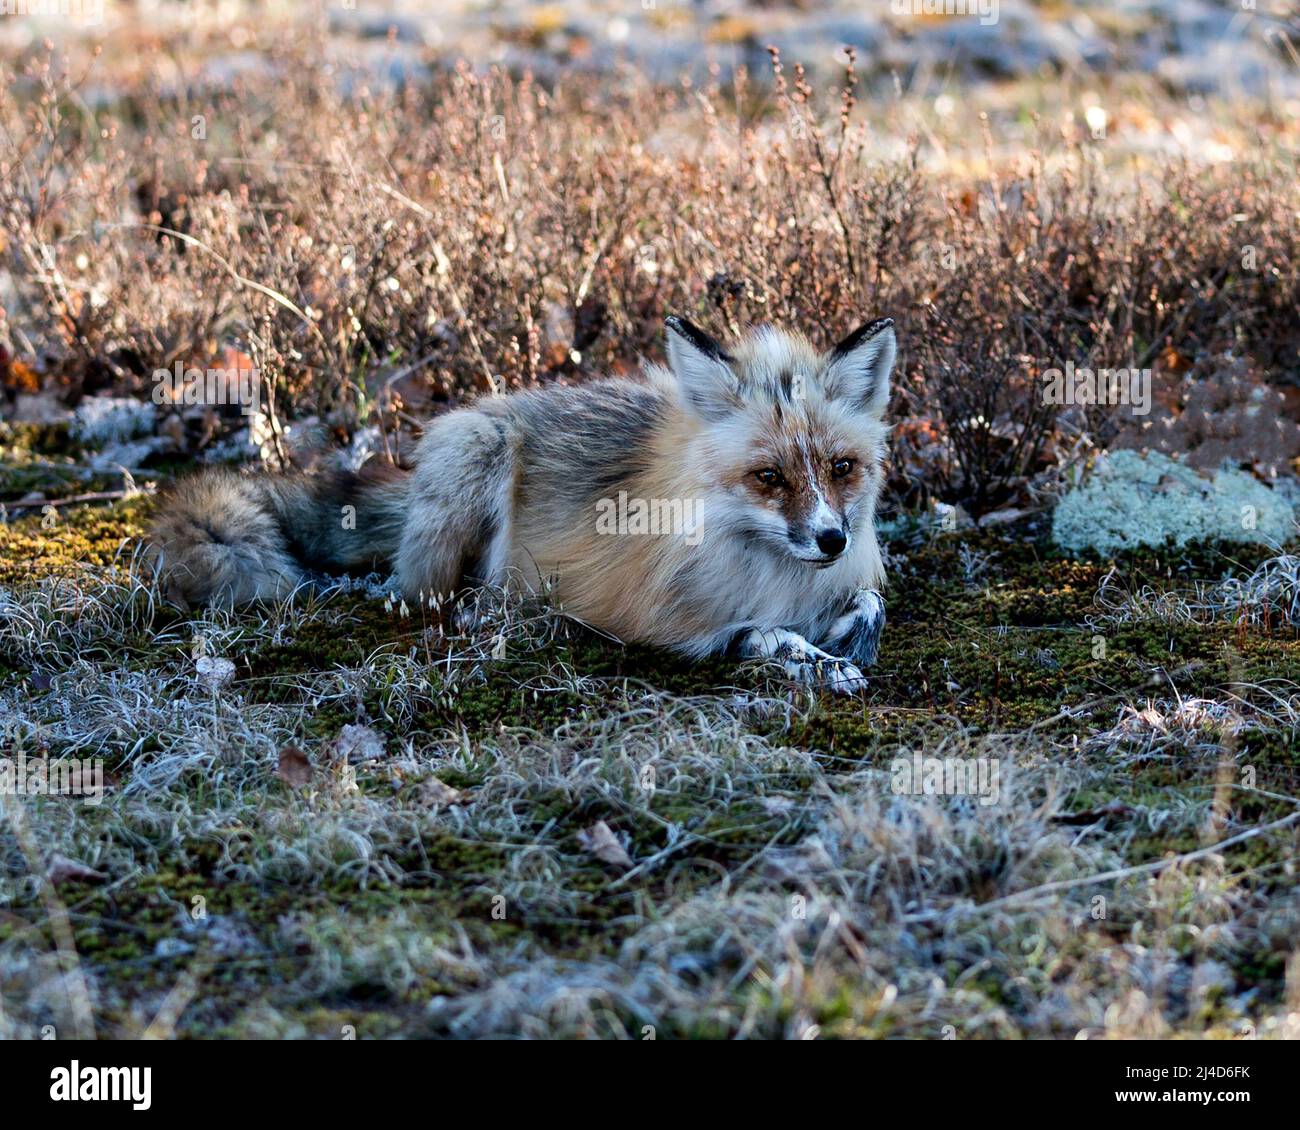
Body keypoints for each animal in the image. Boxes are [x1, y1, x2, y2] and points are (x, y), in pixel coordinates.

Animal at [149, 313, 894, 691]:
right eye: (768, 477)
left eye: (841, 468)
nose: (832, 540)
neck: (770, 572)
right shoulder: (668, 624)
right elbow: (761, 635)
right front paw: (816, 661)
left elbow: (868, 603)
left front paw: (851, 633)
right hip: (478, 456)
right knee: (420, 591)